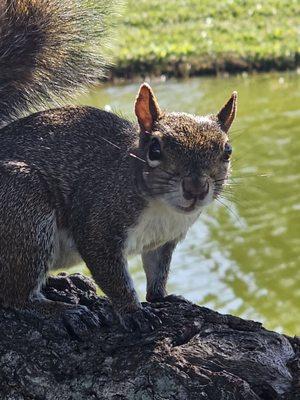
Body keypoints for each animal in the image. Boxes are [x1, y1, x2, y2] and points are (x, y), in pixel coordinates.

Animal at [0, 0, 237, 332]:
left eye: (227, 151)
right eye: (155, 149)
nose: (195, 189)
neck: (162, 209)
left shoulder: (164, 241)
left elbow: (158, 273)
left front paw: (163, 298)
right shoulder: (99, 225)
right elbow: (113, 276)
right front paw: (133, 311)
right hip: (23, 209)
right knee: (15, 296)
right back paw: (58, 310)